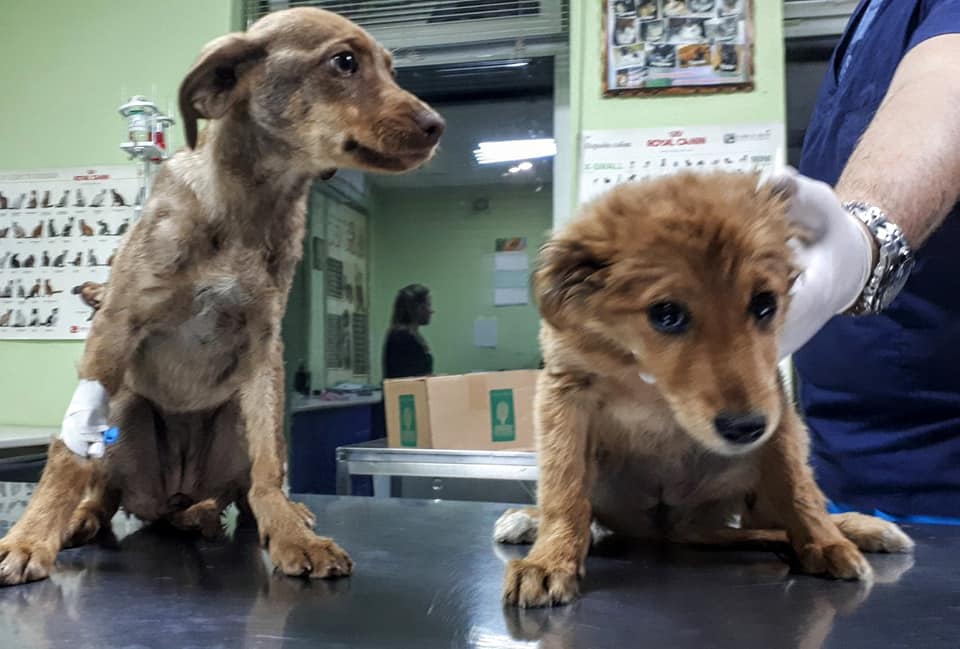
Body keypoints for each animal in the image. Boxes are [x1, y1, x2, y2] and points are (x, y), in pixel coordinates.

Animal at [0, 5, 442, 584]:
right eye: (344, 62)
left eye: (391, 69)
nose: (438, 127)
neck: (250, 205)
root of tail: (179, 497)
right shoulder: (116, 325)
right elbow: (67, 456)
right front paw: (32, 536)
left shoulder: (264, 345)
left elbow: (270, 466)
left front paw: (293, 535)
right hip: (124, 413)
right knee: (106, 490)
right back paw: (84, 520)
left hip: (235, 418)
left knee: (246, 487)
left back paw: (258, 516)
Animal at [498, 172, 912, 608]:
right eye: (666, 314)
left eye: (765, 304)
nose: (746, 429)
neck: (638, 366)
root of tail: (666, 528)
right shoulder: (565, 390)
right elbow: (564, 486)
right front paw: (549, 560)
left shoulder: (774, 400)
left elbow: (798, 486)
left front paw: (824, 542)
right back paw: (531, 521)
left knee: (771, 517)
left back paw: (854, 528)